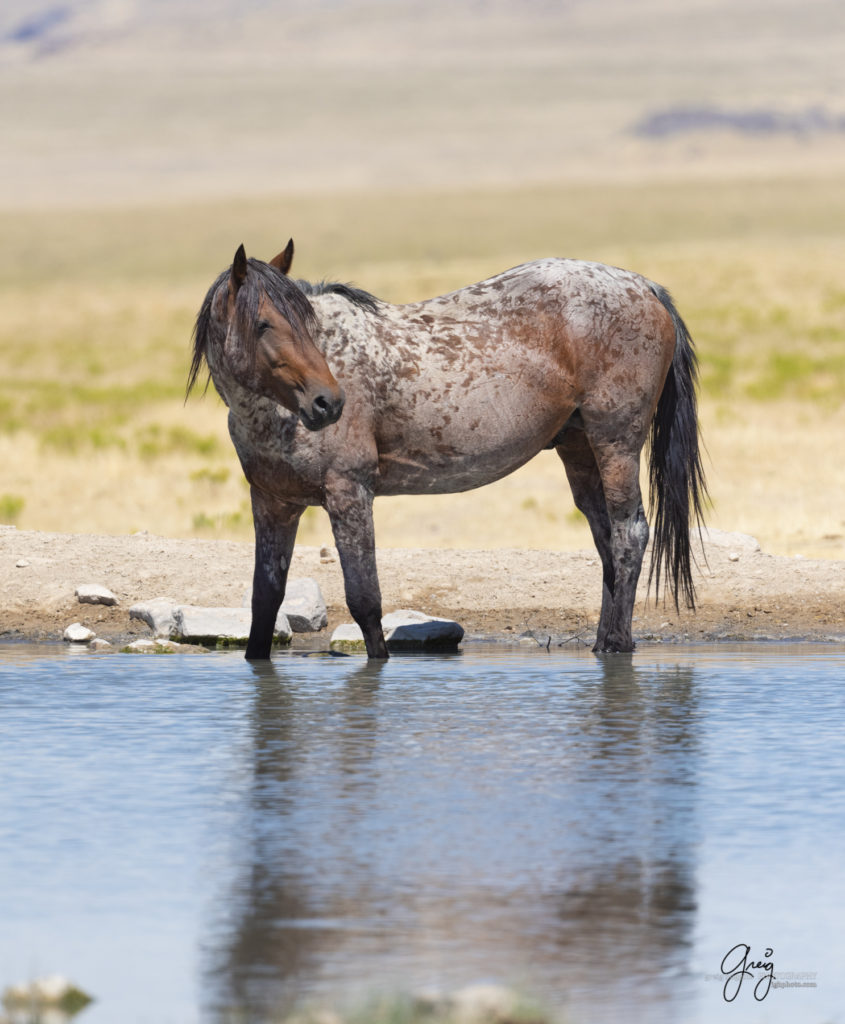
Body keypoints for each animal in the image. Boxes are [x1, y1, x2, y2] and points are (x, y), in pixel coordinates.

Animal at [189, 239, 704, 659]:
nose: (328, 402)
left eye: (309, 325)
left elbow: (365, 601)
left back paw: (615, 644)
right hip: (579, 451)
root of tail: (643, 286)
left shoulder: (349, 494)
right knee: (607, 541)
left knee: (629, 534)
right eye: (262, 324)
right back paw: (605, 641)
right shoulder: (273, 504)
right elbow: (264, 603)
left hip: (616, 444)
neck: (273, 414)